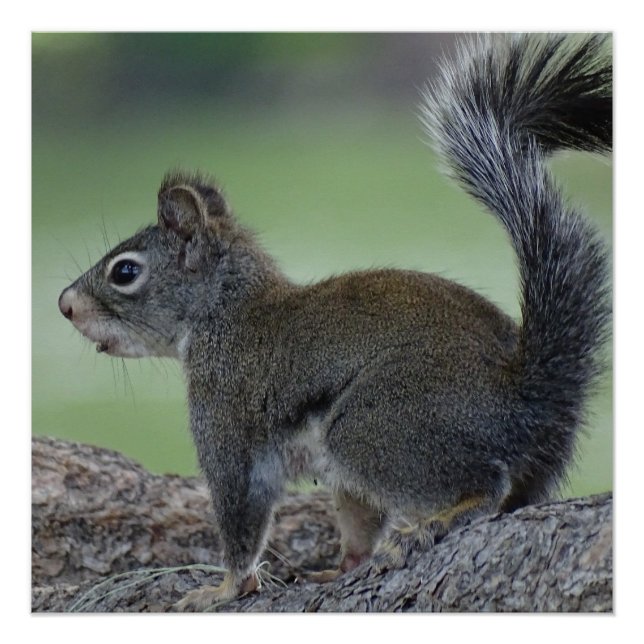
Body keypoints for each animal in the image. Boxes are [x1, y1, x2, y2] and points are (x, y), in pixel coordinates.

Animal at [58, 33, 611, 611]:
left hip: (375, 426)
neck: (224, 312)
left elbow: (239, 516)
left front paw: (223, 588)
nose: (65, 304)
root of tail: (528, 392)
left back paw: (429, 526)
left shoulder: (227, 420)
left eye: (125, 272)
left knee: (485, 487)